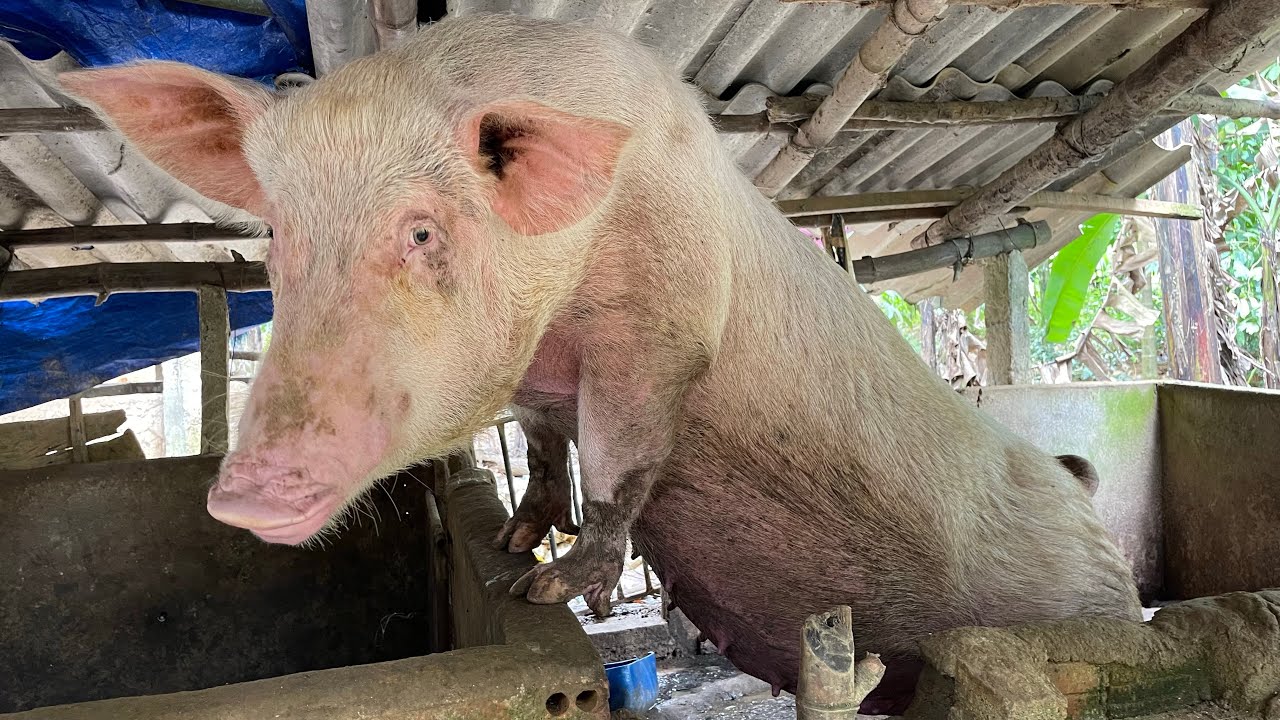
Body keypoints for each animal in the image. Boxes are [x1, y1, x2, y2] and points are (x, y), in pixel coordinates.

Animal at [61, 13, 1142, 713]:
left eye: (420, 232)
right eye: (278, 236)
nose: (241, 493)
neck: (562, 305)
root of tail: (1083, 501)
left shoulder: (658, 333)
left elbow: (620, 461)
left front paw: (544, 592)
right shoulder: (541, 381)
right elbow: (546, 448)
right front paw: (512, 542)